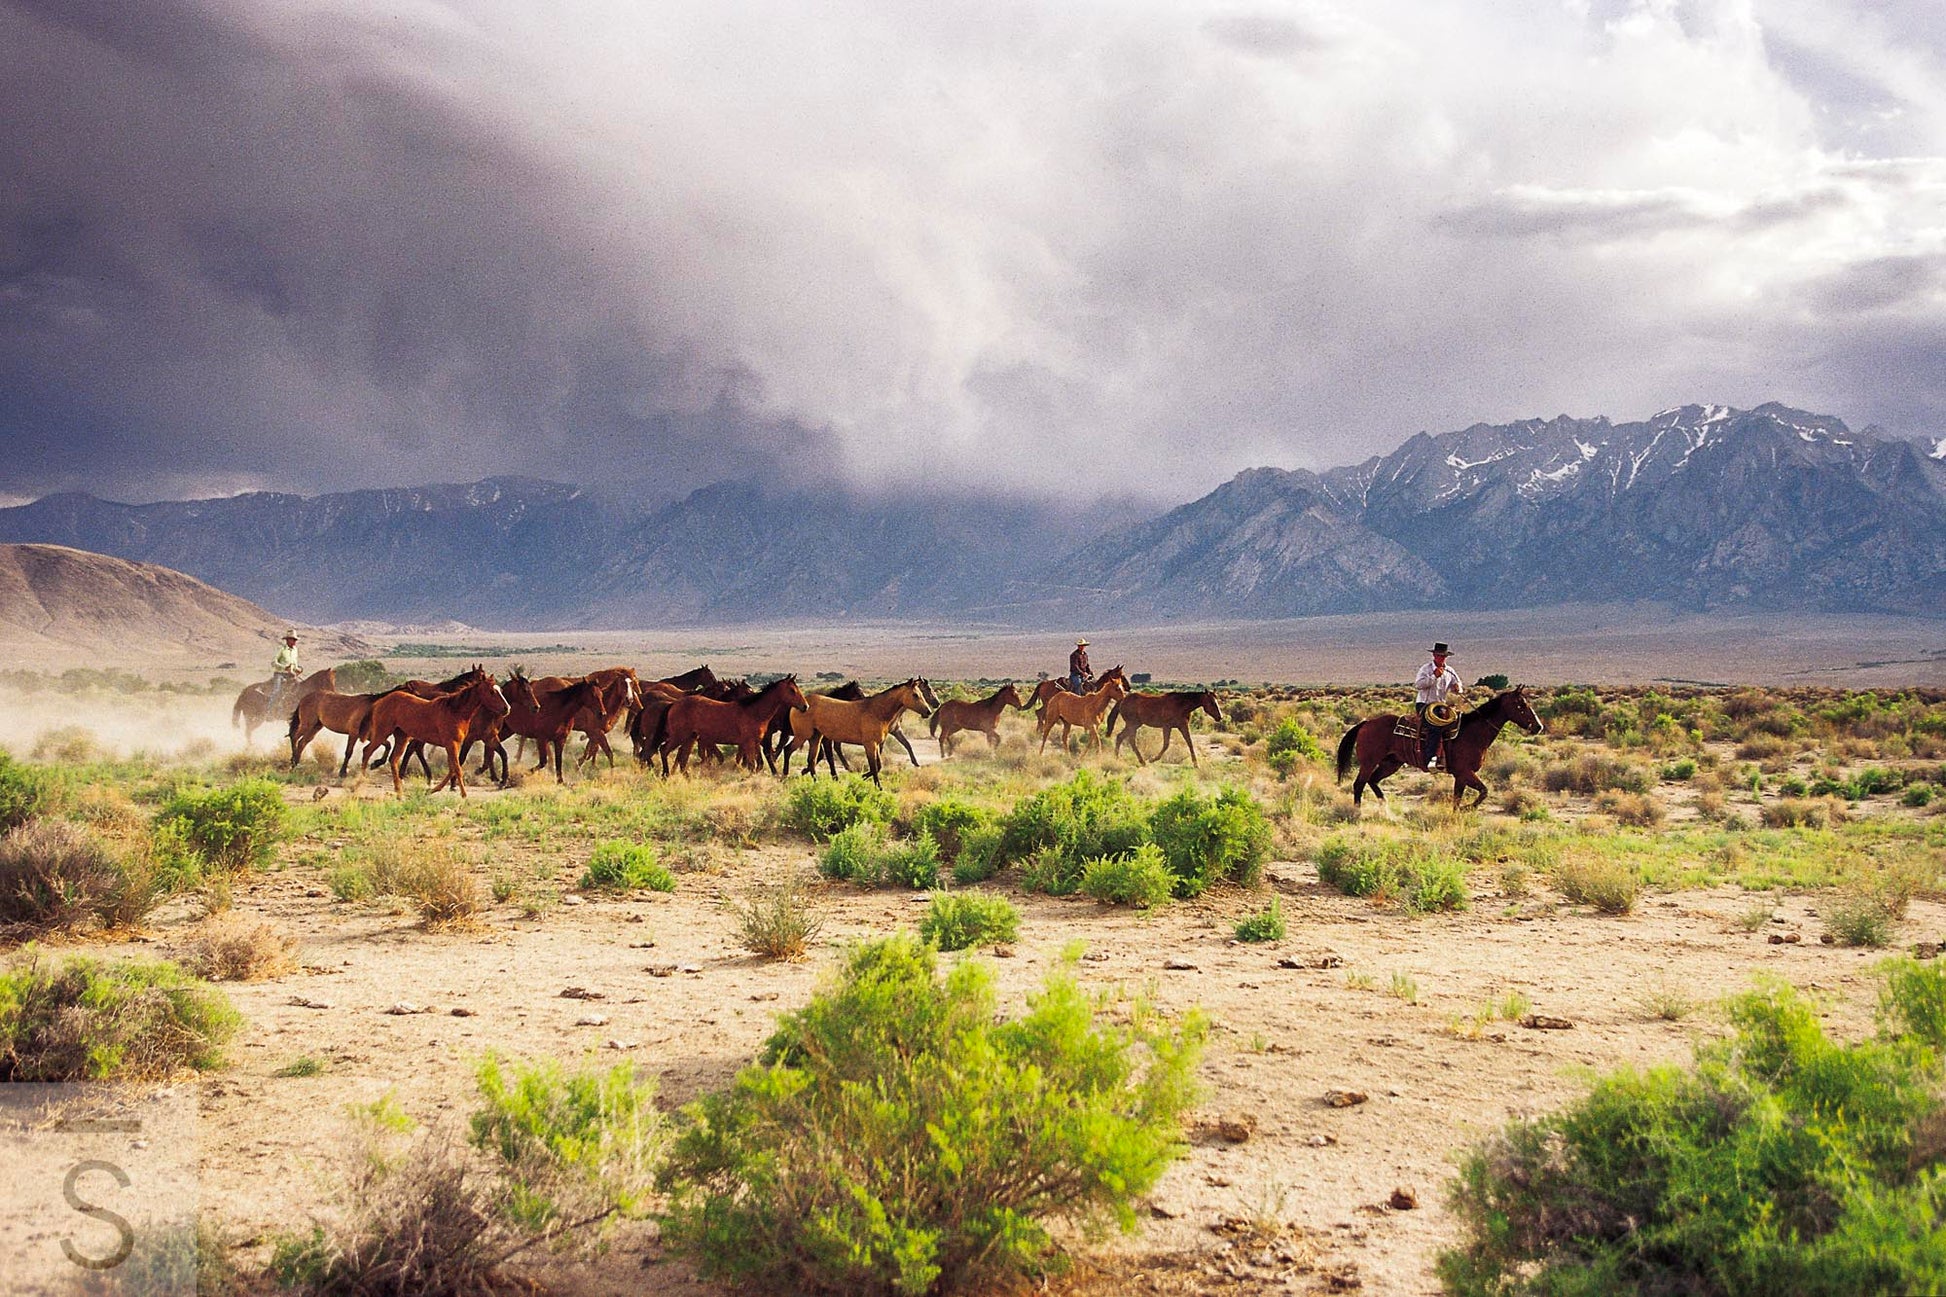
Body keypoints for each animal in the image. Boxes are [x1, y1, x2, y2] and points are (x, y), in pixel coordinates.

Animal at [360, 669, 505, 794]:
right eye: (492, 691)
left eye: (500, 690)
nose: (507, 708)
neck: (455, 711)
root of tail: (380, 701)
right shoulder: (452, 743)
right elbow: (457, 768)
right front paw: (463, 794)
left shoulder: (457, 744)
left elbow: (454, 767)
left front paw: (436, 789)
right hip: (382, 732)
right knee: (367, 751)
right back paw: (362, 779)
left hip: (402, 737)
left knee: (394, 758)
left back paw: (398, 787)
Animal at [657, 669, 801, 771]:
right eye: (792, 690)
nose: (804, 706)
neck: (754, 711)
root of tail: (673, 705)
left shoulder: (752, 741)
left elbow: (752, 760)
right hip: (680, 736)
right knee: (666, 750)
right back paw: (666, 774)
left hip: (689, 737)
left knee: (681, 756)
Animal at [1331, 681, 1541, 802]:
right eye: (1521, 705)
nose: (1538, 727)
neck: (1472, 733)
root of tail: (1366, 722)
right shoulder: (1465, 772)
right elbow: (1484, 792)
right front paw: (1468, 809)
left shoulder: (1460, 776)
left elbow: (1458, 800)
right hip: (1369, 762)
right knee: (1359, 784)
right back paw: (1357, 812)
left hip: (1391, 763)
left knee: (1373, 781)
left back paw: (1387, 810)